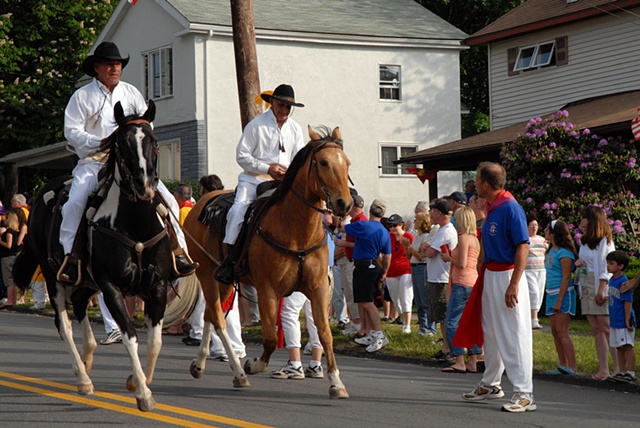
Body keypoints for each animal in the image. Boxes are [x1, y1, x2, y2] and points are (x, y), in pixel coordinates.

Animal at [12, 100, 172, 412]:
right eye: (121, 144)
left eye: (154, 142)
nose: (144, 185)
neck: (134, 225)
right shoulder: (111, 287)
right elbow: (131, 336)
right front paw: (143, 393)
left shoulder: (157, 287)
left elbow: (155, 342)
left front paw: (136, 381)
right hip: (54, 276)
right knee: (63, 322)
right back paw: (83, 378)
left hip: (86, 282)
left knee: (79, 304)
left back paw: (87, 358)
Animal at [182, 125, 352, 400]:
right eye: (324, 162)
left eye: (346, 163)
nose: (344, 204)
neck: (297, 231)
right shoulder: (267, 290)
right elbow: (271, 339)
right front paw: (253, 365)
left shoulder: (318, 289)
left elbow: (325, 335)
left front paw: (336, 383)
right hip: (207, 275)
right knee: (217, 317)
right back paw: (239, 372)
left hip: (224, 282)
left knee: (210, 315)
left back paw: (200, 364)